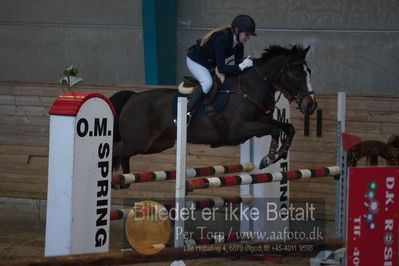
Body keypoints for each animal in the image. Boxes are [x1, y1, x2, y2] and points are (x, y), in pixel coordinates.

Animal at [111, 45, 318, 175]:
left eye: (309, 72)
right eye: (296, 73)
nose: (311, 105)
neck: (250, 88)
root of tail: (132, 97)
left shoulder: (261, 123)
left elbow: (288, 128)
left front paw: (279, 154)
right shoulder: (239, 129)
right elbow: (275, 130)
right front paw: (269, 158)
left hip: (158, 144)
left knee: (124, 154)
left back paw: (125, 179)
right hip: (139, 142)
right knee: (117, 149)